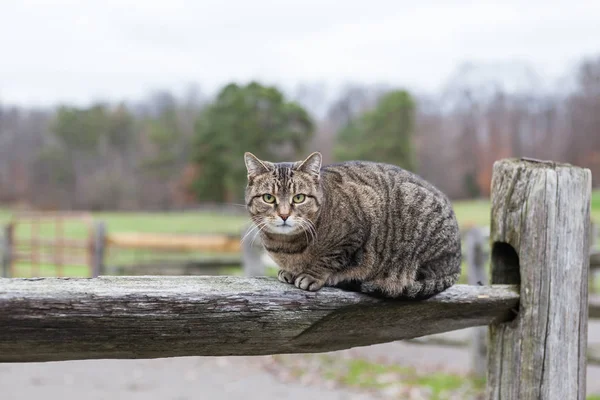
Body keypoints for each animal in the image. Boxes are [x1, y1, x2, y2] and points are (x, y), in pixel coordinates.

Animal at [241, 152, 462, 298]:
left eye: (299, 198)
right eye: (269, 198)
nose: (284, 214)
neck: (287, 246)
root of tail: (457, 263)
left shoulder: (355, 228)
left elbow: (332, 258)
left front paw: (313, 275)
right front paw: (290, 271)